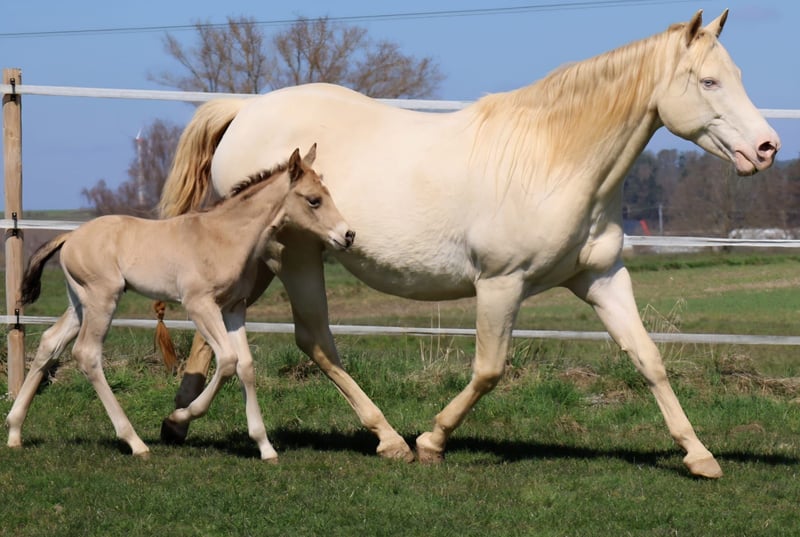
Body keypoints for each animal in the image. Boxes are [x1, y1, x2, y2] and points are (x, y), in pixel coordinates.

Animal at [6, 146, 355, 459]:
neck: (225, 236)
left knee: (50, 342)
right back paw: (135, 442)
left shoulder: (234, 308)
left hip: (81, 303)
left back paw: (14, 431)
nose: (348, 235)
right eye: (314, 200)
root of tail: (70, 237)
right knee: (86, 354)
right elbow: (227, 361)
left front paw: (265, 447)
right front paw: (178, 417)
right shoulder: (199, 305)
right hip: (103, 298)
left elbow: (246, 366)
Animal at [156, 10, 779, 478]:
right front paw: (433, 440)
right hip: (297, 256)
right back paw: (389, 439)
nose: (767, 148)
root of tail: (246, 109)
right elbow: (489, 369)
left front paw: (699, 455)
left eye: (737, 74)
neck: (555, 160)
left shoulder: (600, 277)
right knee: (314, 341)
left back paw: (177, 420)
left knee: (218, 328)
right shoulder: (501, 284)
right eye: (708, 81)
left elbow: (648, 357)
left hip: (260, 262)